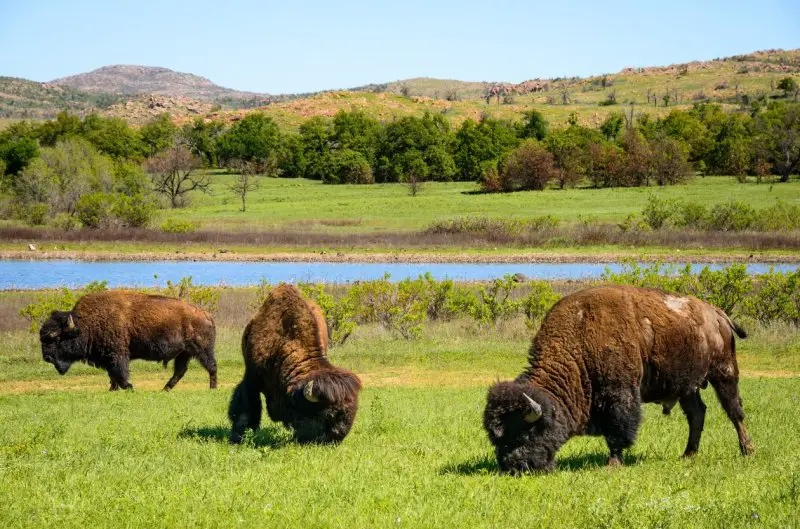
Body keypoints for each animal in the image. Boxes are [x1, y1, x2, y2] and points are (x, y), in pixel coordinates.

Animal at [39, 290, 217, 391]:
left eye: (55, 338)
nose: (46, 357)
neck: (86, 323)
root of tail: (206, 314)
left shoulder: (117, 354)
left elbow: (120, 372)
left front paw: (129, 387)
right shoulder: (107, 357)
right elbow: (112, 374)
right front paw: (113, 389)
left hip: (202, 350)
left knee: (211, 366)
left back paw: (212, 388)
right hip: (184, 353)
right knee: (180, 371)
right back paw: (165, 389)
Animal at [228, 284, 361, 444]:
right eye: (328, 414)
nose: (337, 438)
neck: (282, 343)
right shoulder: (252, 377)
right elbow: (248, 405)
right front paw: (239, 437)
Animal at [483, 285, 754, 473]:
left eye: (524, 432)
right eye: (496, 438)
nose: (513, 467)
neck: (580, 340)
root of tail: (717, 314)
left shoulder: (619, 395)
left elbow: (618, 430)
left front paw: (613, 463)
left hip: (724, 372)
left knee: (734, 411)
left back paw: (747, 451)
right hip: (687, 386)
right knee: (697, 414)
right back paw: (688, 454)